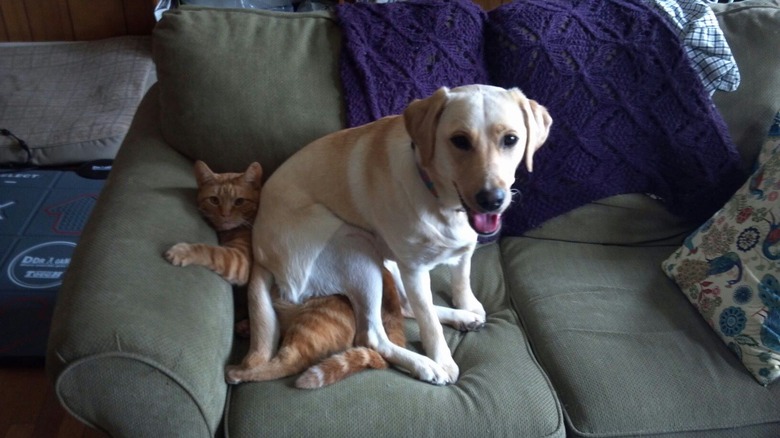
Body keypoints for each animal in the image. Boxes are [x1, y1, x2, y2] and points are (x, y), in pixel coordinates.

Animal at [166, 159, 408, 388]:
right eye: (214, 200)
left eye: (239, 201)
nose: (225, 215)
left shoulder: (241, 261)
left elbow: (209, 251)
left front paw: (181, 252)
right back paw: (244, 328)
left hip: (310, 323)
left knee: (288, 362)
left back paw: (238, 371)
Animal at [229, 84, 552, 384]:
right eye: (460, 140)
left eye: (510, 139)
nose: (492, 200)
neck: (439, 199)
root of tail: (260, 252)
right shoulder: (415, 271)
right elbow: (429, 323)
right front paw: (442, 360)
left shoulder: (460, 251)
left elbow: (461, 280)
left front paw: (466, 305)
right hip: (356, 247)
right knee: (372, 335)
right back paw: (425, 365)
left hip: (386, 259)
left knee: (406, 307)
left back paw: (464, 318)